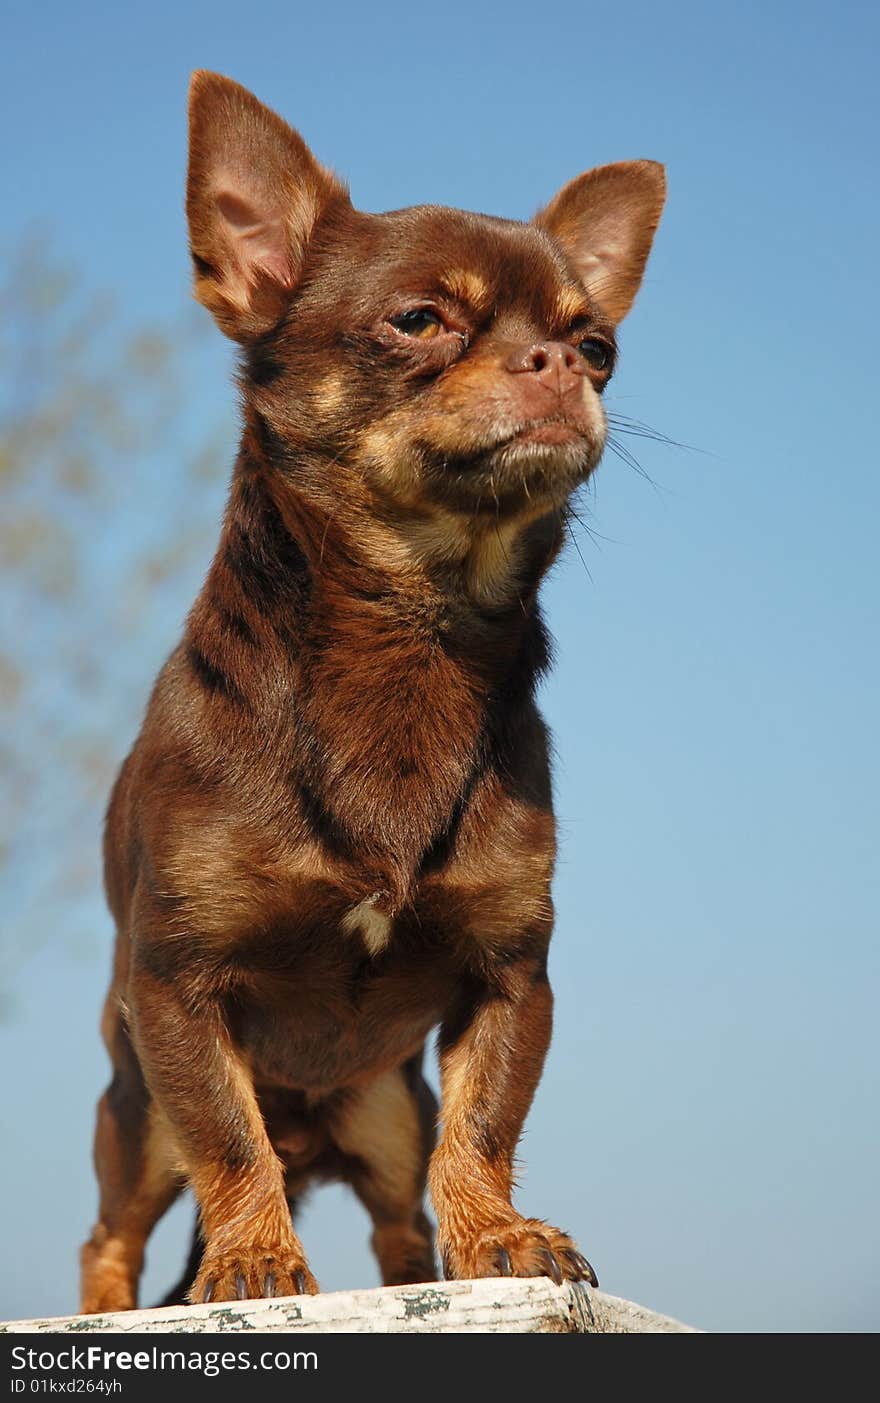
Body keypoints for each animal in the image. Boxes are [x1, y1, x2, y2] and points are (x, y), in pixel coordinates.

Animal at [79, 71, 665, 1307]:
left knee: (404, 1220)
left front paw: (503, 1233)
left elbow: (485, 1127)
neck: (411, 631)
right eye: (420, 322)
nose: (560, 367)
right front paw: (254, 1257)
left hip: (388, 1106)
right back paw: (107, 1303)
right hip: (135, 1110)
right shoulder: (177, 986)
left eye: (597, 344)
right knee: (117, 1227)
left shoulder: (510, 975)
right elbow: (229, 1137)